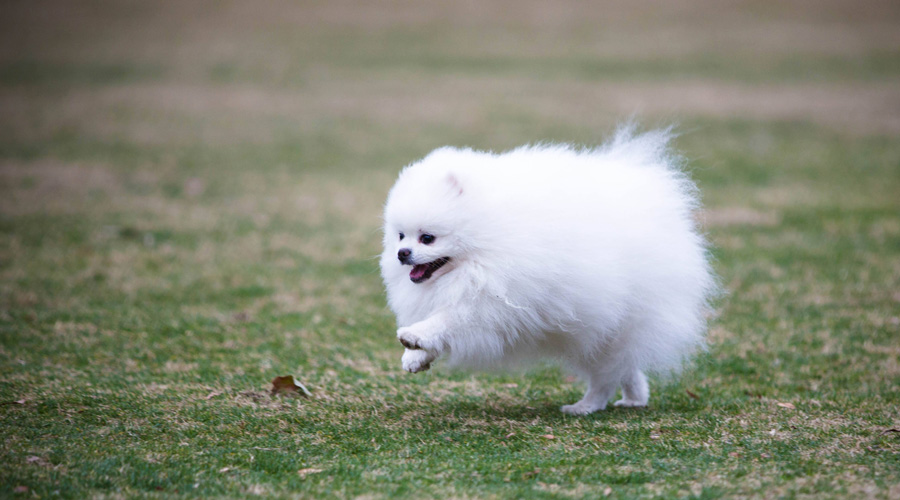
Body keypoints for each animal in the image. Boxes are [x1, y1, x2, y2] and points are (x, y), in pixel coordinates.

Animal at [380, 128, 716, 414]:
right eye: (400, 236)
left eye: (427, 237)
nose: (402, 254)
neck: (489, 239)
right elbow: (442, 323)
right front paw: (415, 356)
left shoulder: (492, 301)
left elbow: (448, 320)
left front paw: (414, 336)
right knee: (623, 368)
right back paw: (632, 399)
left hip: (608, 329)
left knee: (608, 374)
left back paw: (586, 407)